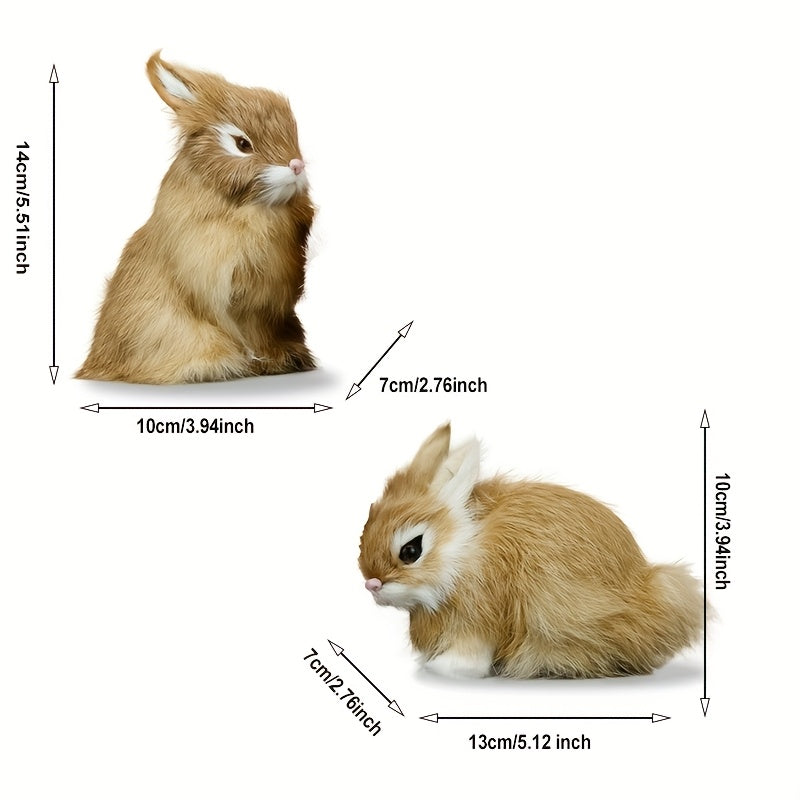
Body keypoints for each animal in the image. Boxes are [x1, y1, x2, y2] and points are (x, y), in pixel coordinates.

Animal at [358, 423, 705, 679]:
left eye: (411, 550)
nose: (372, 584)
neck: (461, 550)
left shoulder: (479, 617)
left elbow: (471, 653)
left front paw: (445, 668)